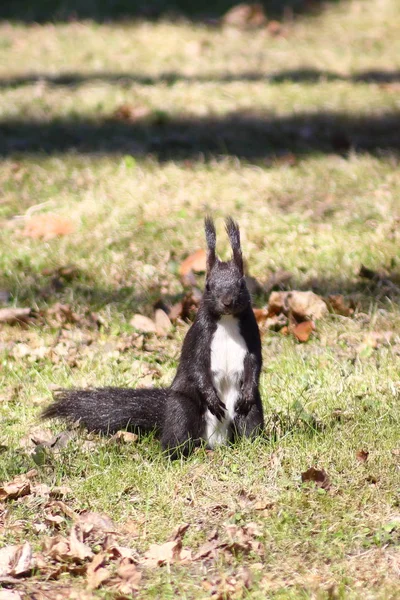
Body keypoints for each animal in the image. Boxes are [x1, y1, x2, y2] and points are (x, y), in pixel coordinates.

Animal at [42, 218, 264, 458]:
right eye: (208, 285)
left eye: (242, 284)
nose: (227, 302)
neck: (226, 321)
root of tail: (216, 442)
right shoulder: (200, 335)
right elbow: (196, 366)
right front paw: (212, 399)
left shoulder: (251, 333)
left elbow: (254, 361)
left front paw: (249, 388)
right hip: (181, 408)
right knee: (178, 429)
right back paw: (175, 453)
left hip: (249, 410)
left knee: (250, 419)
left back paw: (254, 443)